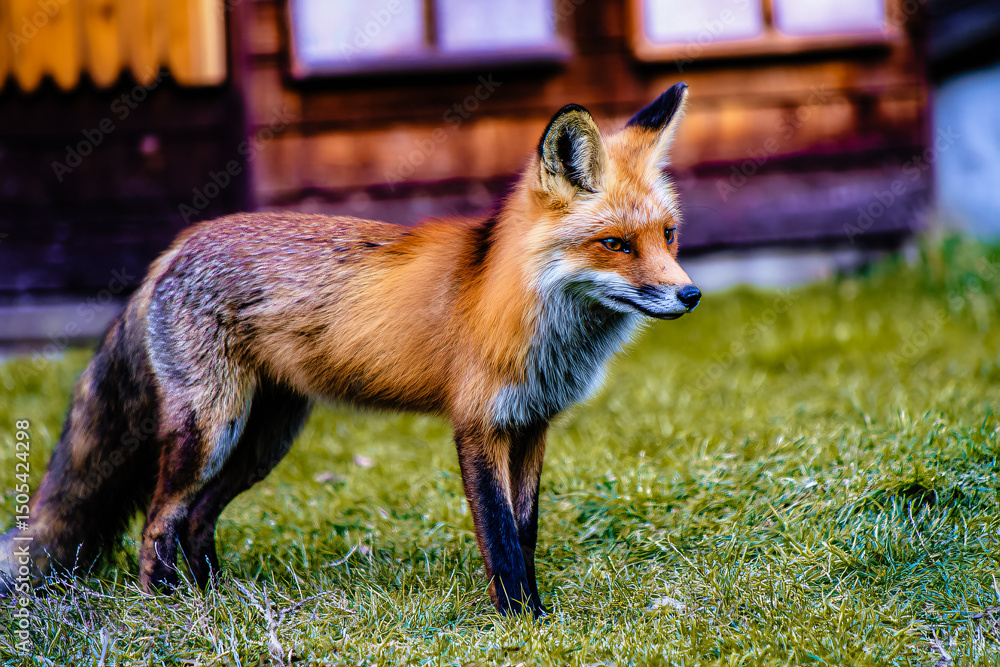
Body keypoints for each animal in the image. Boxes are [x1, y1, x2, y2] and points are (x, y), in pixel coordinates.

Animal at [0, 83, 700, 617]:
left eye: (667, 235)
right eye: (615, 244)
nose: (690, 294)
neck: (529, 313)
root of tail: (179, 244)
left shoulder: (531, 426)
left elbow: (524, 533)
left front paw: (535, 611)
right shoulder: (478, 426)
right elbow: (500, 537)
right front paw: (521, 623)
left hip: (263, 441)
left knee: (195, 520)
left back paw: (214, 600)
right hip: (213, 431)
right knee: (157, 522)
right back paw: (166, 612)